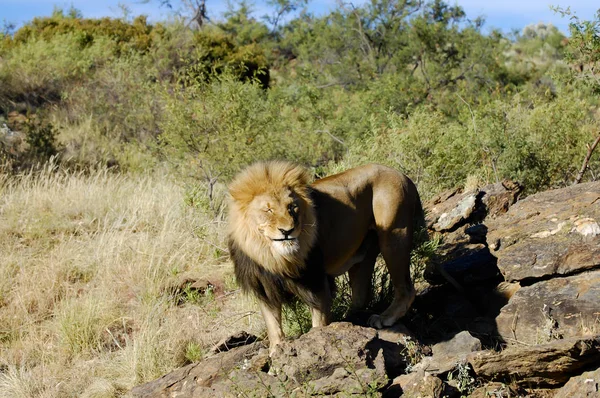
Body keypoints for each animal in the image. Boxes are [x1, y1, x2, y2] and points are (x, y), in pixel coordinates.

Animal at [226, 160, 422, 352]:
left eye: (292, 207)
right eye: (268, 210)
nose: (287, 231)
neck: (271, 255)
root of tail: (402, 175)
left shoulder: (315, 280)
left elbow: (319, 321)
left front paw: (317, 341)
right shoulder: (265, 285)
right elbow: (273, 326)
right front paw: (275, 353)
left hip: (394, 235)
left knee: (406, 289)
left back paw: (384, 318)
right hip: (364, 252)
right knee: (361, 296)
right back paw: (350, 320)